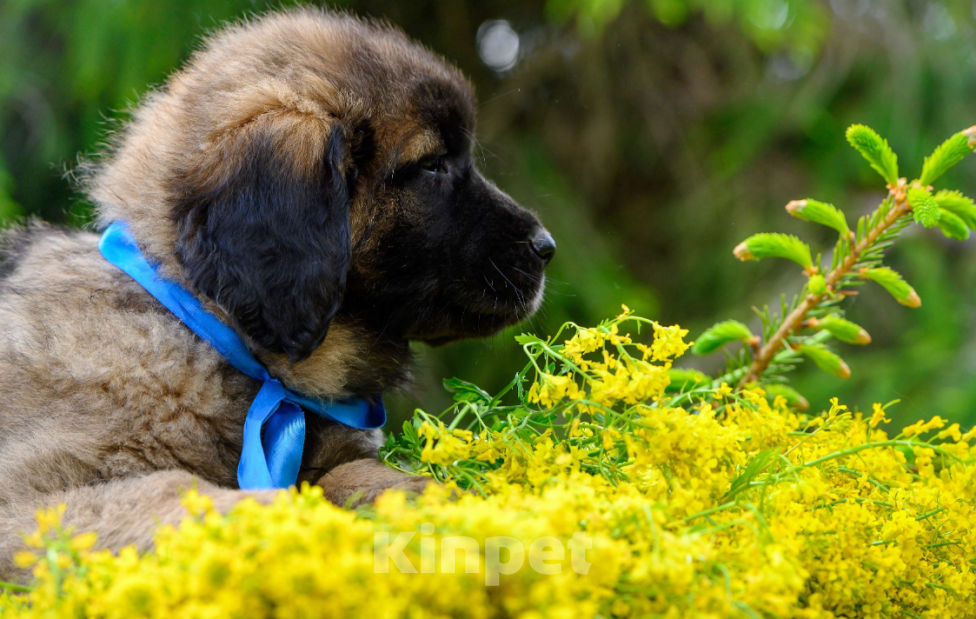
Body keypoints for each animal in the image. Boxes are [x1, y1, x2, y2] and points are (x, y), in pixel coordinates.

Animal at [0, 7, 552, 580]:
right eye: (431, 165)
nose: (546, 247)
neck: (206, 330)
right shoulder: (28, 500)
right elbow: (177, 492)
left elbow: (355, 475)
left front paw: (427, 497)